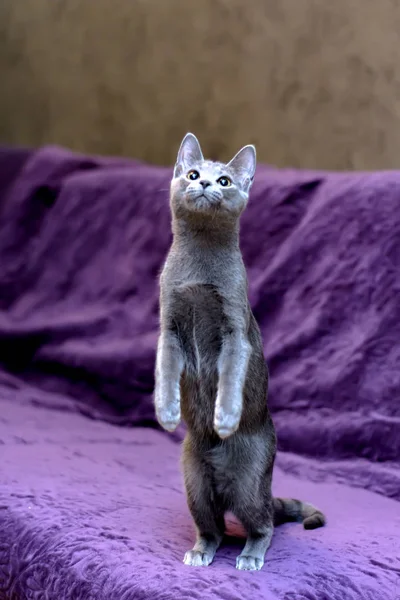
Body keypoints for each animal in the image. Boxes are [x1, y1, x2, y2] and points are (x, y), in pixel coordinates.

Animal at [153, 132, 324, 572]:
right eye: (192, 174)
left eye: (226, 180)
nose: (204, 183)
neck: (198, 271)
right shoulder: (169, 328)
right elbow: (164, 369)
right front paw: (166, 412)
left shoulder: (234, 331)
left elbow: (230, 375)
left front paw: (225, 419)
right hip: (194, 483)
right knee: (211, 528)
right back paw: (200, 552)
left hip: (250, 482)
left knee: (262, 524)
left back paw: (249, 556)